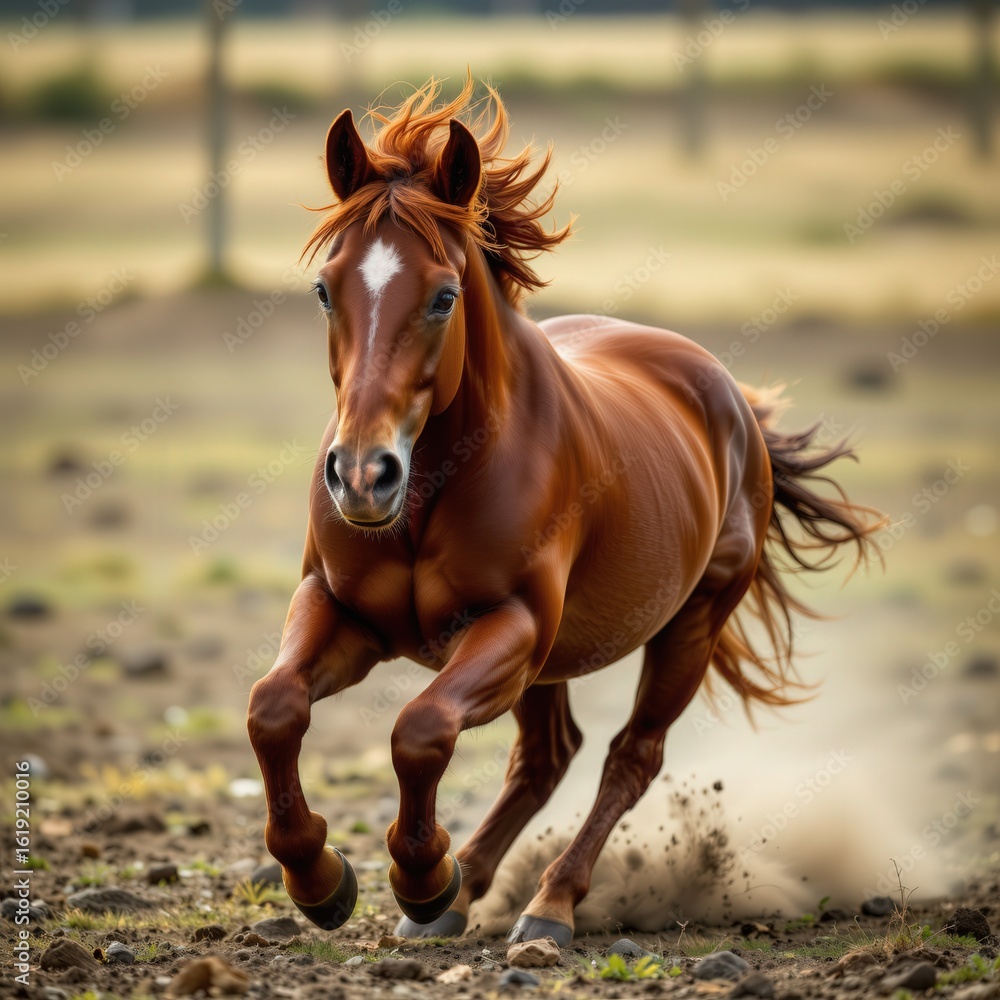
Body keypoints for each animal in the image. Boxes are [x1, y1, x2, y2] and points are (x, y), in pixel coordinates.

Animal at [246, 77, 883, 946]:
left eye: (443, 297)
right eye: (324, 290)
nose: (362, 478)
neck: (434, 487)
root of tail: (729, 398)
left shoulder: (508, 625)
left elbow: (421, 731)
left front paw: (420, 876)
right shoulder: (342, 610)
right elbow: (273, 710)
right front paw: (321, 878)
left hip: (689, 625)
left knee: (629, 757)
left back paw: (546, 906)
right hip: (550, 664)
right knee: (548, 756)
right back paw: (464, 895)